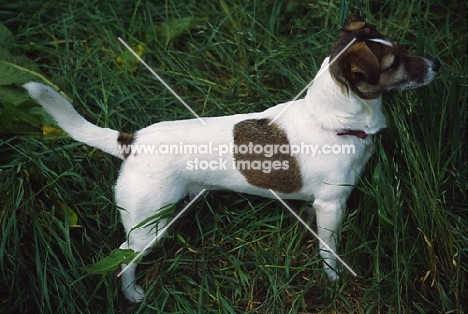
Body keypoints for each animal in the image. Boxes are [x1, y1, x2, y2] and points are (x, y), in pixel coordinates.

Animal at [22, 14, 438, 302]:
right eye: (394, 62)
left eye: (401, 47)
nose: (437, 64)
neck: (332, 120)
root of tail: (132, 141)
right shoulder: (332, 204)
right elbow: (329, 250)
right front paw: (333, 279)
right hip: (146, 225)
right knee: (123, 260)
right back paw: (132, 294)